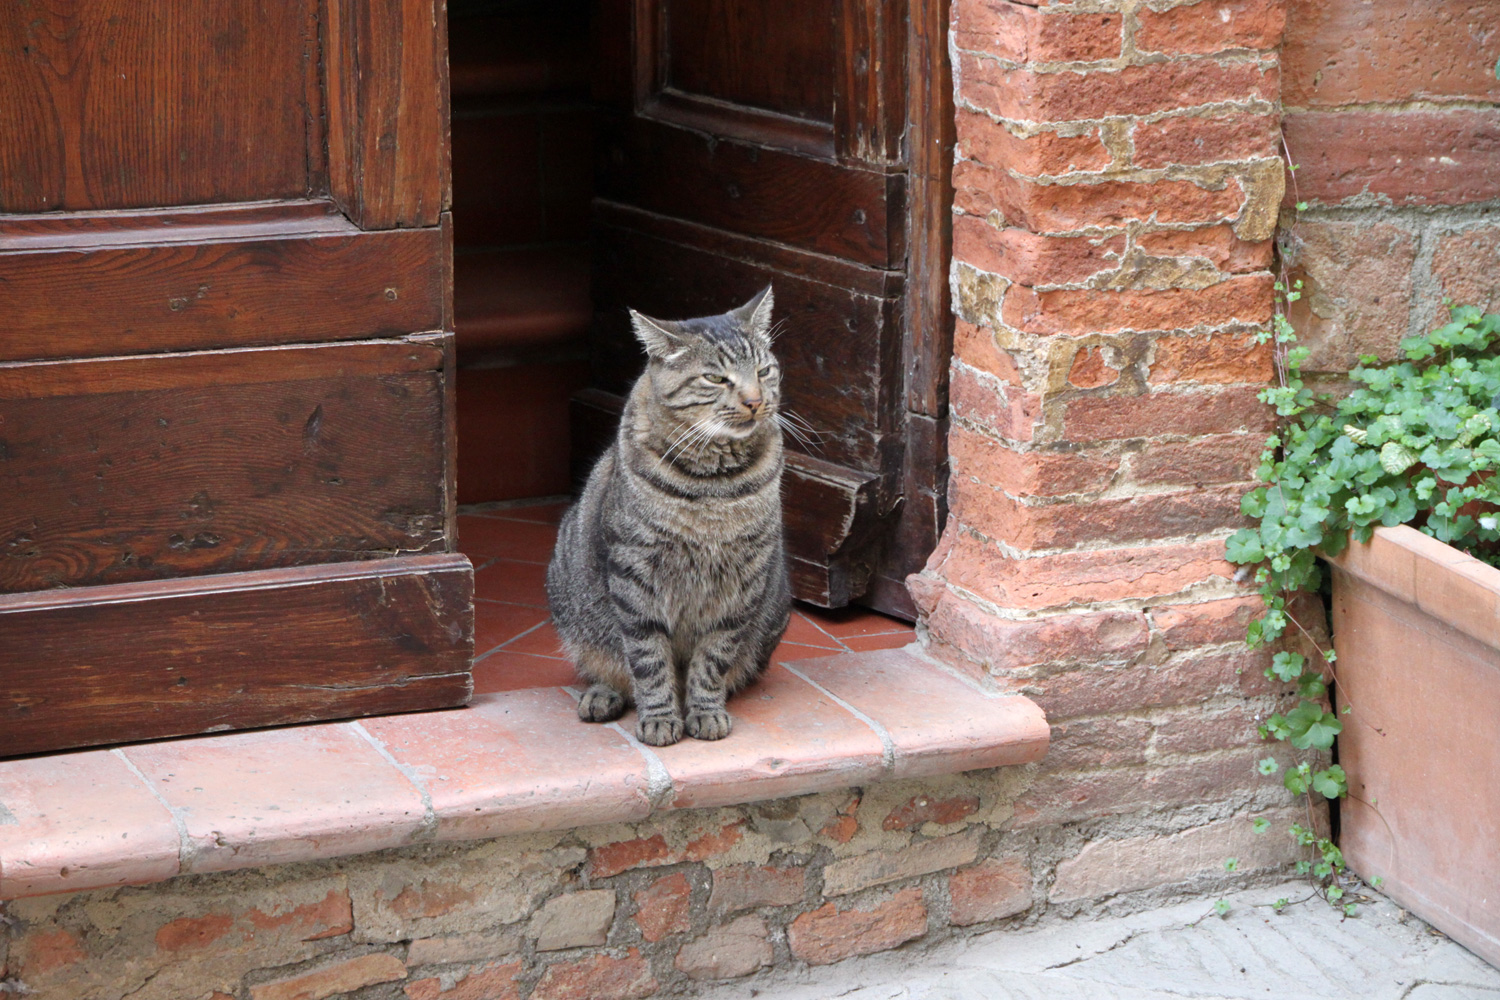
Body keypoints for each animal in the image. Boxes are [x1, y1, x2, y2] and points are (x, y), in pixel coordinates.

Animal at [546, 286, 791, 747]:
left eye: (765, 370)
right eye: (716, 378)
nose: (755, 401)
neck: (714, 484)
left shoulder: (741, 579)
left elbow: (713, 658)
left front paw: (705, 711)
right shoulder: (635, 571)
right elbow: (647, 657)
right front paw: (660, 717)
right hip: (571, 601)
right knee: (606, 665)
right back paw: (602, 695)